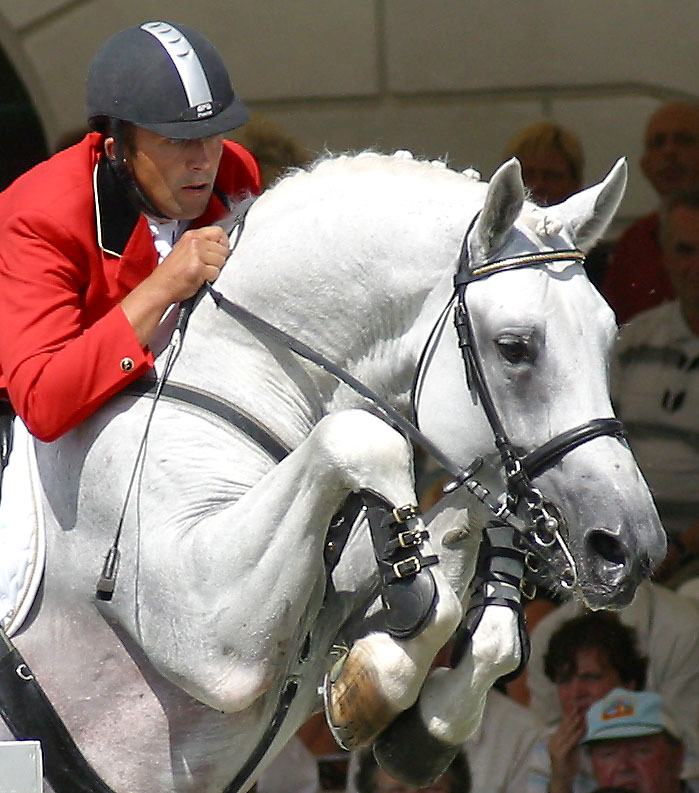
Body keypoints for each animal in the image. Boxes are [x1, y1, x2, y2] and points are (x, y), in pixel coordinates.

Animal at [1, 152, 668, 788]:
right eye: (514, 348)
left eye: (608, 340)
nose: (630, 549)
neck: (241, 370)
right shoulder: (203, 628)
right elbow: (367, 440)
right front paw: (373, 685)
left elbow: (475, 605)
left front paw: (410, 722)